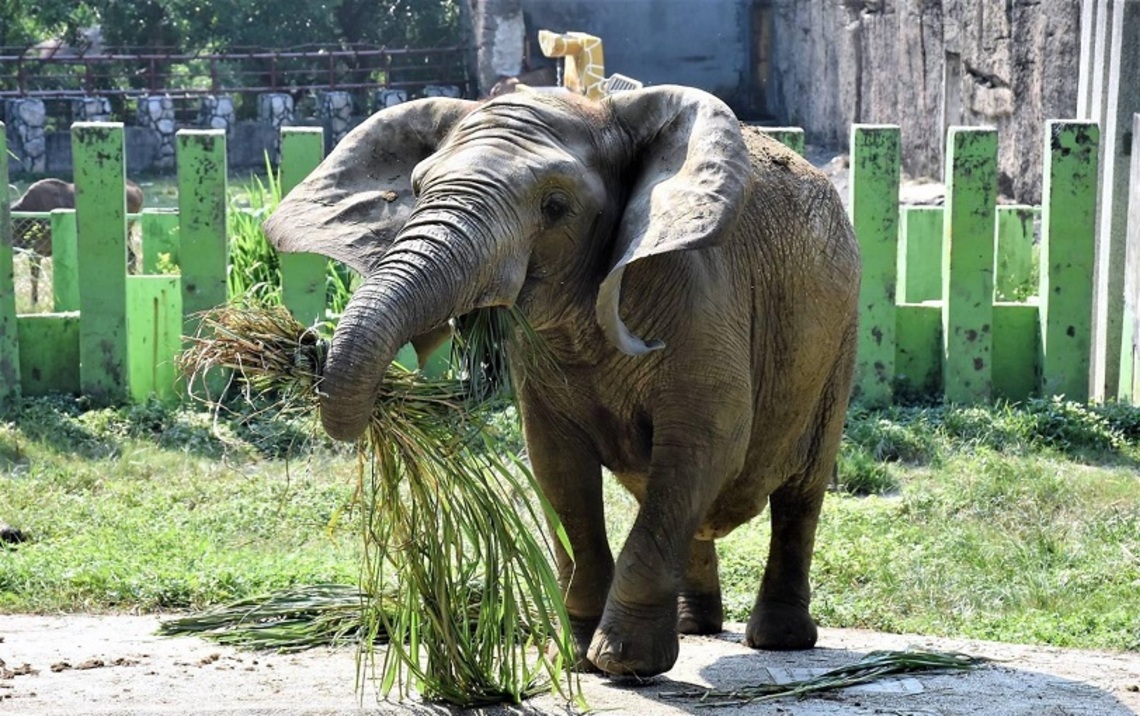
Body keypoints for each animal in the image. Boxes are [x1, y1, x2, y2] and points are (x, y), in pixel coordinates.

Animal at [263, 85, 861, 678]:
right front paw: (571, 658)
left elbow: (706, 444)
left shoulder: (705, 299)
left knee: (799, 493)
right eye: (413, 189)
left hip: (839, 341)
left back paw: (779, 639)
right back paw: (695, 626)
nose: (307, 344)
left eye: (555, 208)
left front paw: (623, 662)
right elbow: (559, 470)